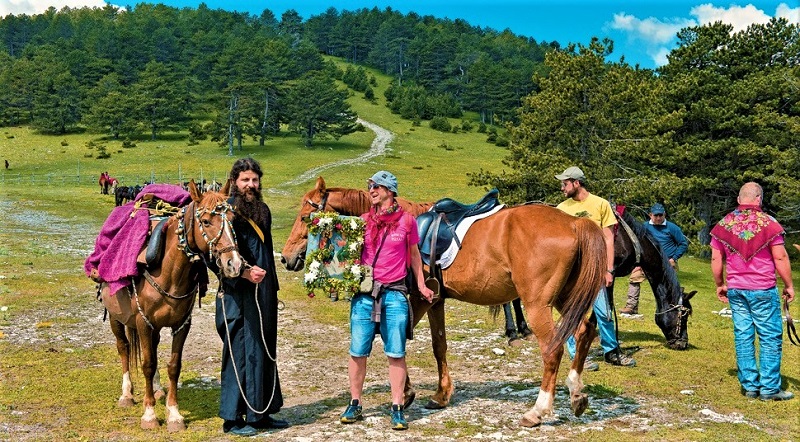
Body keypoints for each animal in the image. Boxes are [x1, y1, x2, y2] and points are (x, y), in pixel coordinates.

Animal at [282, 177, 608, 428]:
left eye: (304, 217)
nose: (286, 258)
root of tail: (575, 223)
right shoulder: (435, 299)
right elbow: (439, 345)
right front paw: (440, 395)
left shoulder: (417, 298)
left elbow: (394, 341)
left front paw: (407, 392)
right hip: (567, 298)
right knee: (585, 331)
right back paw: (577, 394)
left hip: (538, 303)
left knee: (552, 349)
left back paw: (537, 411)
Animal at [500, 205, 692, 350]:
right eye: (684, 315)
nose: (683, 343)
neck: (631, 240)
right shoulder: (609, 273)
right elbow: (606, 303)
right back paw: (513, 333)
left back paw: (523, 330)